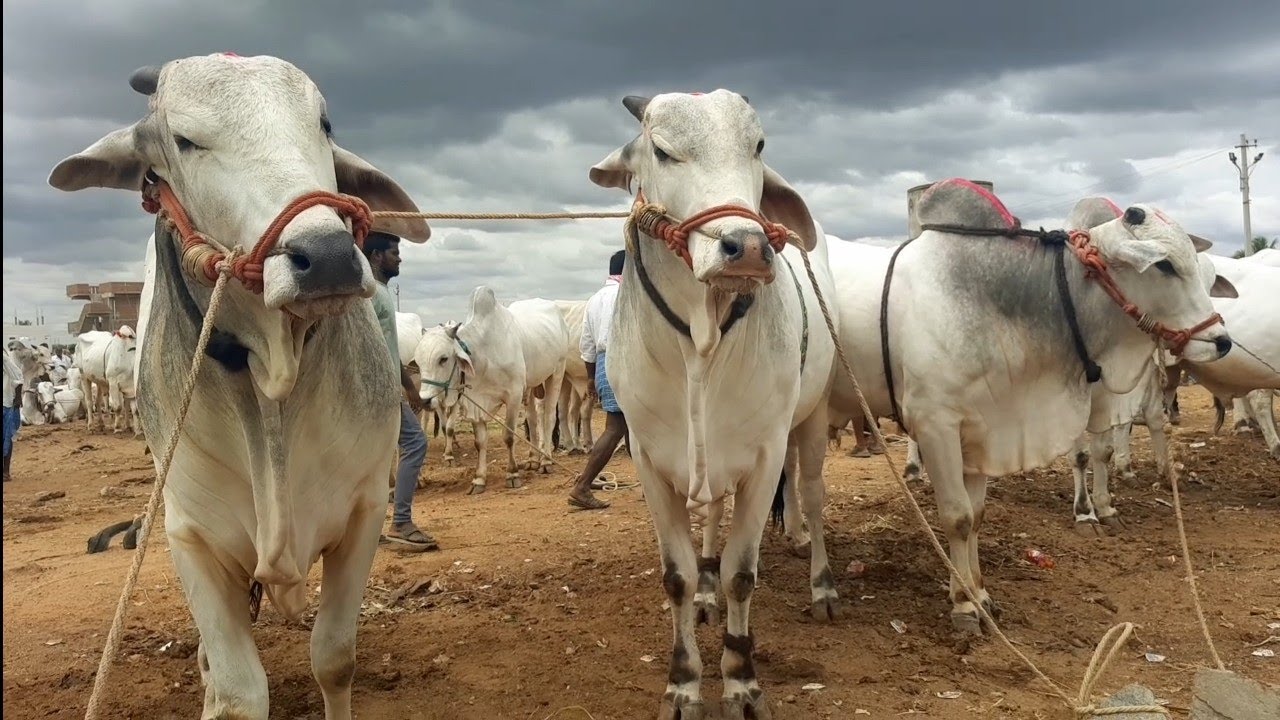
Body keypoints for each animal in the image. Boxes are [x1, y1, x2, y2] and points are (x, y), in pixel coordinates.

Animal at [47, 53, 431, 719]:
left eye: (324, 122)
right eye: (184, 141)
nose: (328, 255)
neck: (271, 379)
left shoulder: (363, 513)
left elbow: (335, 658)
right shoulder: (190, 537)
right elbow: (236, 690)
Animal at [414, 288, 569, 493]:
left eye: (443, 358)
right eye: (417, 361)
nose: (424, 400)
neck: (483, 353)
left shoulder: (513, 395)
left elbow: (509, 437)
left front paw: (512, 474)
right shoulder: (476, 402)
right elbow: (479, 442)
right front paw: (479, 479)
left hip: (557, 371)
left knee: (548, 418)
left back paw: (545, 461)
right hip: (531, 384)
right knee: (533, 419)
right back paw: (532, 460)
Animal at [588, 90, 839, 718]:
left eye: (758, 145)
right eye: (661, 150)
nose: (746, 247)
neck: (700, 342)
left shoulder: (766, 456)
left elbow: (742, 575)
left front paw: (742, 682)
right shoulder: (649, 461)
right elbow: (676, 576)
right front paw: (683, 683)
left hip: (814, 418)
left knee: (813, 496)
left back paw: (822, 584)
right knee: (710, 520)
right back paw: (705, 593)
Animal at [831, 177, 1231, 635]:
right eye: (1165, 266)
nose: (1221, 341)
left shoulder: (982, 429)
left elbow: (977, 516)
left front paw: (980, 596)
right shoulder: (936, 425)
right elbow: (957, 517)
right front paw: (964, 608)